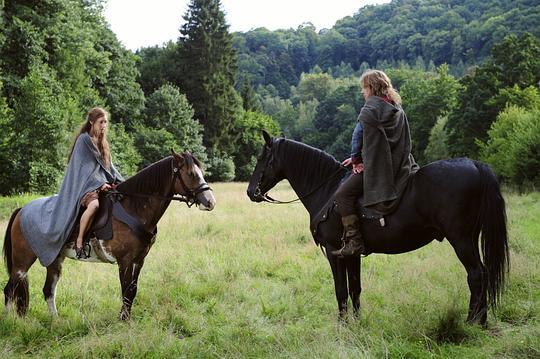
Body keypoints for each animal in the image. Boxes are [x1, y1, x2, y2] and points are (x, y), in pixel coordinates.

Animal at [4, 150, 215, 320]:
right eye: (191, 174)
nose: (210, 202)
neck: (134, 207)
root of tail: (21, 210)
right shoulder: (125, 261)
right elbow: (126, 291)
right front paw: (123, 321)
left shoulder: (139, 260)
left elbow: (132, 291)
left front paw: (126, 319)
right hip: (22, 262)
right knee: (9, 289)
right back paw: (10, 322)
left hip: (54, 260)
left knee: (48, 290)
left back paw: (56, 321)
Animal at [247, 132, 508, 326]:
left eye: (260, 157)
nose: (251, 192)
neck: (328, 189)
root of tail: (475, 164)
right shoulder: (351, 253)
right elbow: (355, 288)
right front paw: (357, 323)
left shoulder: (333, 251)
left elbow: (340, 289)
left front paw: (342, 325)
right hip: (471, 238)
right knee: (483, 274)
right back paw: (481, 321)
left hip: (461, 239)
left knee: (476, 275)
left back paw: (472, 322)